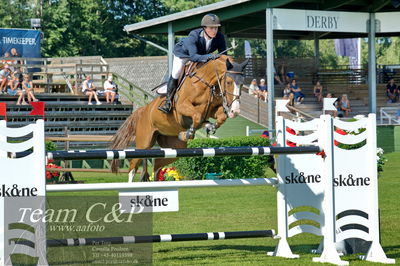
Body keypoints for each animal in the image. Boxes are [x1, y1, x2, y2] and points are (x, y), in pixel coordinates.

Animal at [109, 55, 247, 182]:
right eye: (228, 82)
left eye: (242, 84)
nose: (235, 111)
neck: (206, 83)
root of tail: (143, 109)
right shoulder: (182, 107)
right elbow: (197, 115)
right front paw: (190, 133)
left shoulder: (212, 110)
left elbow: (220, 116)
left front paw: (209, 127)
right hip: (144, 143)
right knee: (133, 166)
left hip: (173, 147)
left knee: (157, 164)